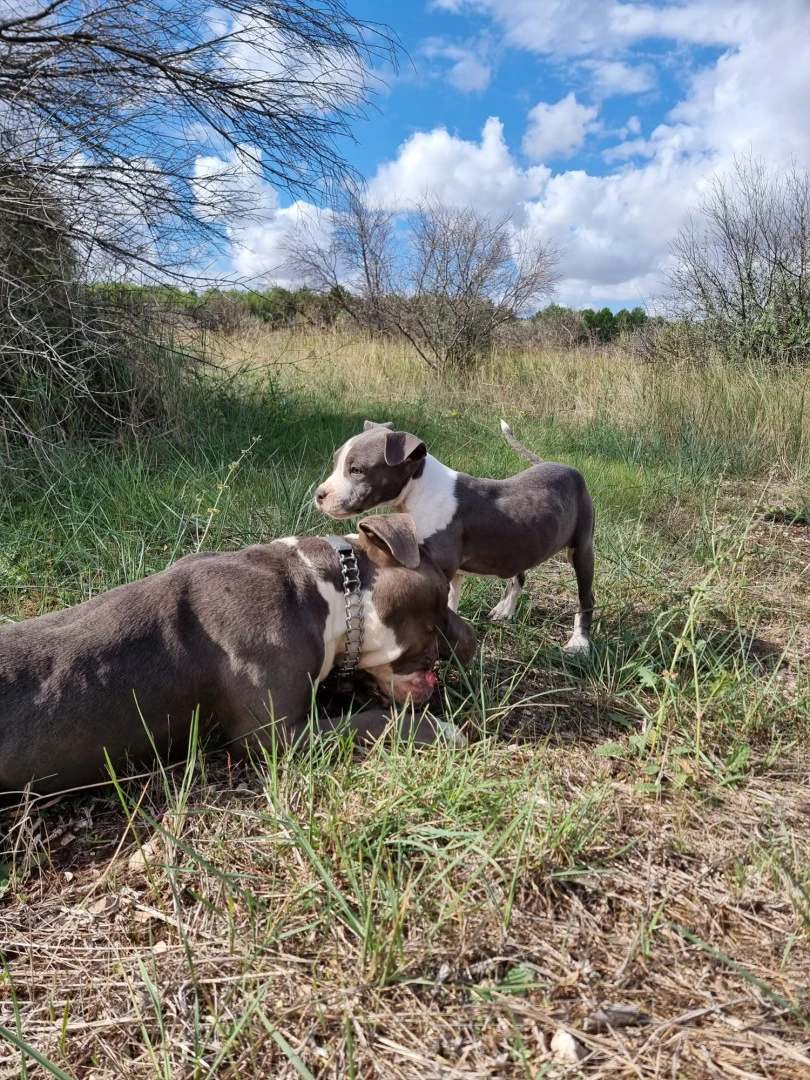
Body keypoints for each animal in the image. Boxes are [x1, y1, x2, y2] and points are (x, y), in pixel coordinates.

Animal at [315, 423, 596, 652]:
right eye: (336, 462)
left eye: (357, 470)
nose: (319, 495)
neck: (420, 489)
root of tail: (566, 468)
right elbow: (450, 605)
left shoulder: (441, 565)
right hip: (521, 542)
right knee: (519, 574)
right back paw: (505, 610)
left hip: (582, 548)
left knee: (586, 596)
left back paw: (579, 643)